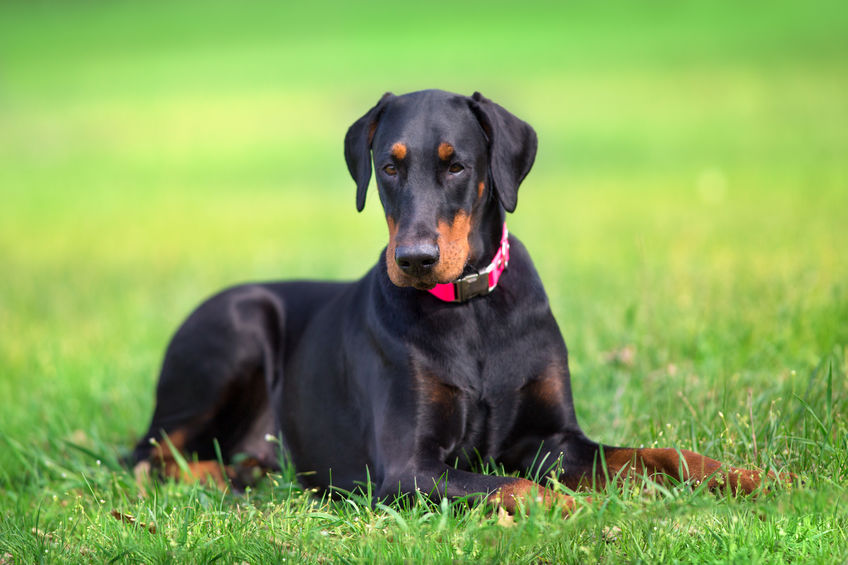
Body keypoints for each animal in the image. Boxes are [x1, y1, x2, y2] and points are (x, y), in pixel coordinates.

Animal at [132, 88, 780, 512]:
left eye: (457, 166)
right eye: (388, 167)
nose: (415, 260)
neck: (470, 310)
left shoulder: (555, 440)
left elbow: (664, 455)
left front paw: (754, 478)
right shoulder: (406, 470)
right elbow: (517, 486)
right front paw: (577, 511)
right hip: (238, 321)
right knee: (145, 456)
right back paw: (221, 478)